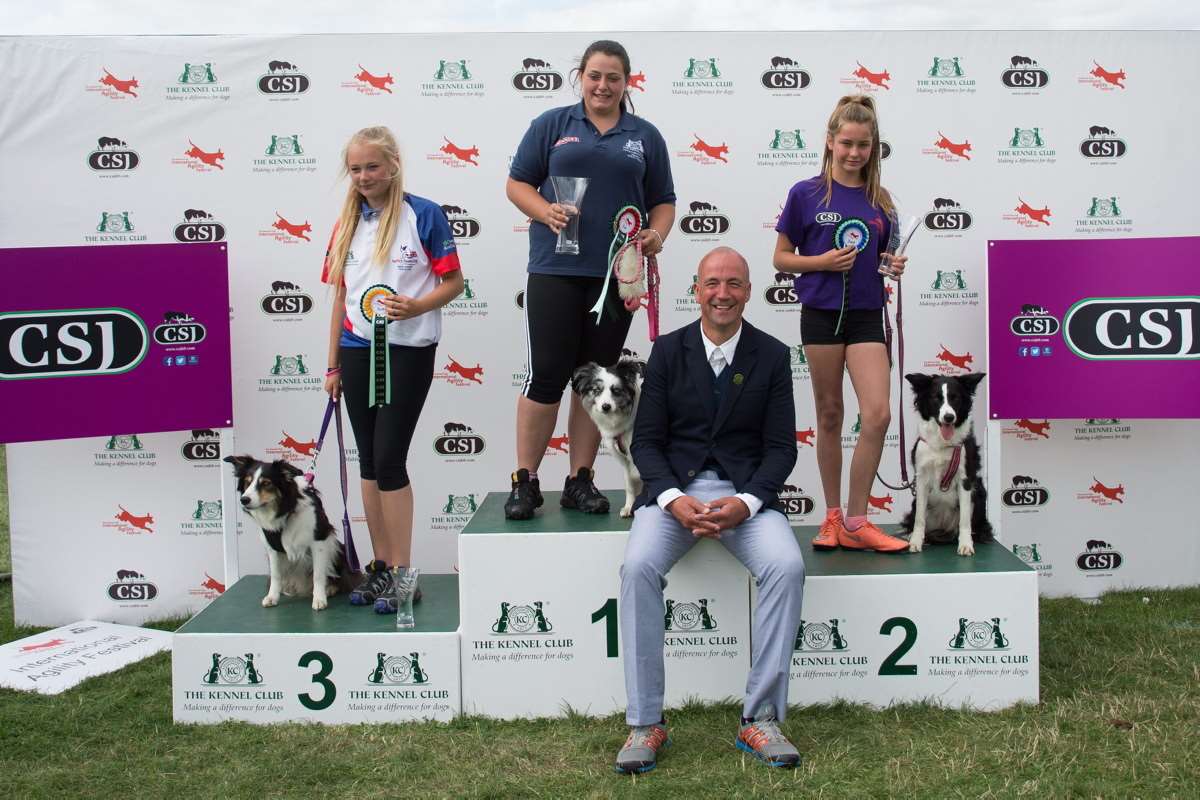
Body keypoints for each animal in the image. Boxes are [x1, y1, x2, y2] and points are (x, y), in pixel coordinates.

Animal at [223, 460, 350, 609]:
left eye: (266, 483)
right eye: (247, 482)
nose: (244, 500)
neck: (285, 512)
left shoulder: (319, 540)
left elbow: (318, 574)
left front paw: (319, 599)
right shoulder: (272, 549)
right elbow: (275, 574)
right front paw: (272, 597)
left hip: (338, 548)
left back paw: (329, 588)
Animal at [573, 357, 648, 520]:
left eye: (616, 390)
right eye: (597, 390)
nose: (606, 406)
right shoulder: (625, 459)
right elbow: (629, 484)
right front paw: (629, 507)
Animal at [902, 376, 993, 556]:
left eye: (955, 398)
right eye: (936, 398)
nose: (949, 417)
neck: (942, 444)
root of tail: (944, 529)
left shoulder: (966, 480)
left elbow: (964, 520)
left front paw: (966, 545)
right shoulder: (921, 479)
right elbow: (919, 519)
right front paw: (915, 541)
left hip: (979, 492)